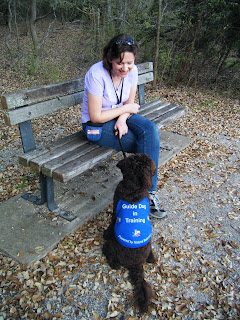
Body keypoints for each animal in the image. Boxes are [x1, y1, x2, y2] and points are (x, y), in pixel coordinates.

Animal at [102, 154, 157, 314]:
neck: (134, 187)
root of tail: (136, 264)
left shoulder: (115, 212)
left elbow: (110, 225)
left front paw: (105, 233)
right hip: (149, 245)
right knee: (151, 256)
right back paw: (151, 258)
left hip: (113, 246)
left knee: (112, 258)